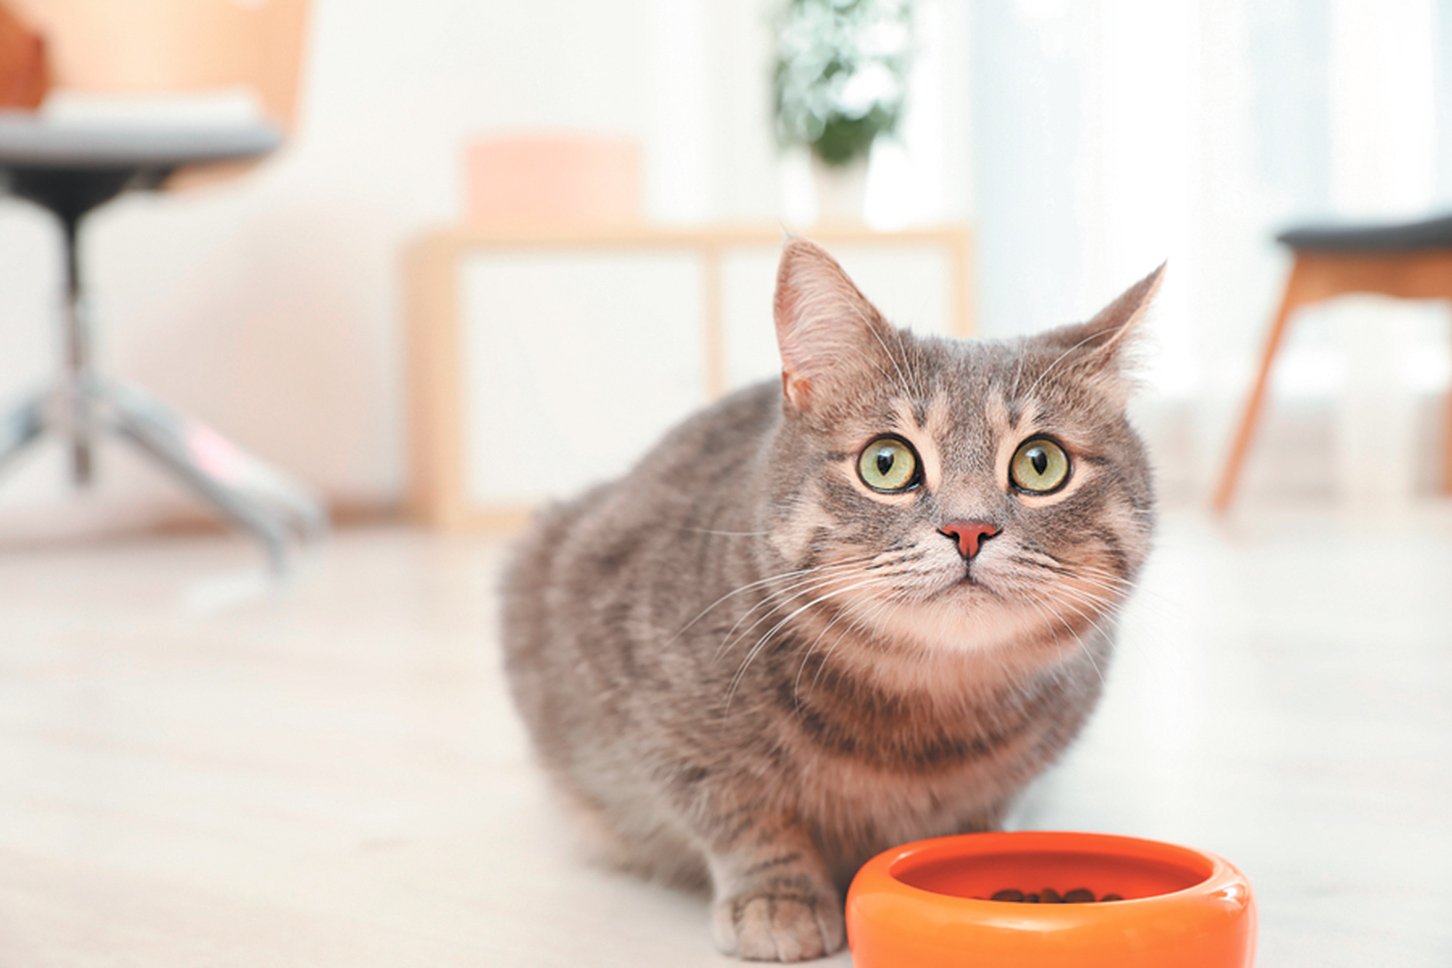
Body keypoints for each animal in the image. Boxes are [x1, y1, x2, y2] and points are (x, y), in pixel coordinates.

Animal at [505, 240, 1161, 963]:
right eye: (886, 462)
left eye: (1041, 464)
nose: (969, 529)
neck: (924, 716)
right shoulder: (660, 715)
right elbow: (739, 812)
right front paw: (777, 897)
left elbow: (976, 815)